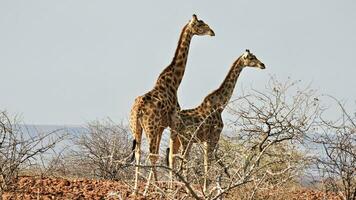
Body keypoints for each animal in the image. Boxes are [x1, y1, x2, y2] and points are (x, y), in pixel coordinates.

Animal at [130, 14, 216, 195]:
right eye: (200, 24)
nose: (212, 32)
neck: (174, 82)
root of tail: (138, 109)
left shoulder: (162, 126)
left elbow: (165, 154)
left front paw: (162, 185)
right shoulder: (173, 122)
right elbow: (171, 155)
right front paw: (168, 187)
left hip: (136, 127)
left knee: (139, 153)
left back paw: (135, 189)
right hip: (150, 127)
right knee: (150, 154)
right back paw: (148, 189)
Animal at [168, 49, 266, 193]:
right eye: (251, 57)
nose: (263, 65)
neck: (220, 106)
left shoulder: (206, 139)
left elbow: (206, 162)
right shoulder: (214, 136)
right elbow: (208, 163)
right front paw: (206, 189)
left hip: (175, 138)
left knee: (171, 158)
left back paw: (171, 187)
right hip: (186, 139)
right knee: (183, 159)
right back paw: (185, 188)